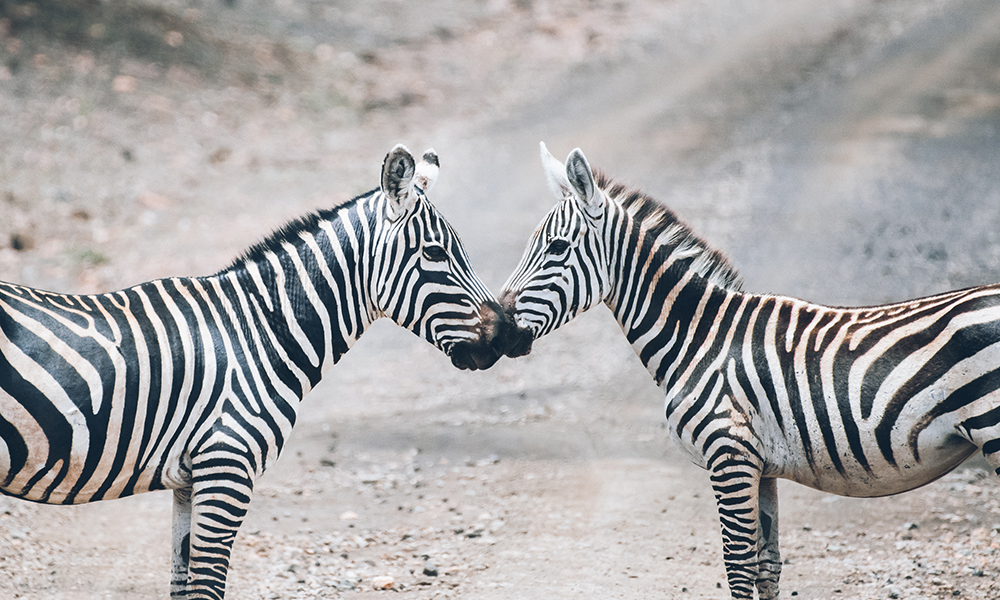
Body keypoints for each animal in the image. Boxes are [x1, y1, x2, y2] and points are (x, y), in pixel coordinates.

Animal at [0, 146, 512, 600]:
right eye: (435, 253)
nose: (507, 336)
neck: (259, 330)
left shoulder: (190, 478)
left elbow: (183, 584)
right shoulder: (228, 465)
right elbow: (207, 588)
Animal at [500, 142, 1000, 600]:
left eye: (557, 248)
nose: (498, 328)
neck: (699, 337)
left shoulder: (730, 454)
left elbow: (738, 568)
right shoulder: (762, 465)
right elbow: (768, 567)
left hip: (991, 429)